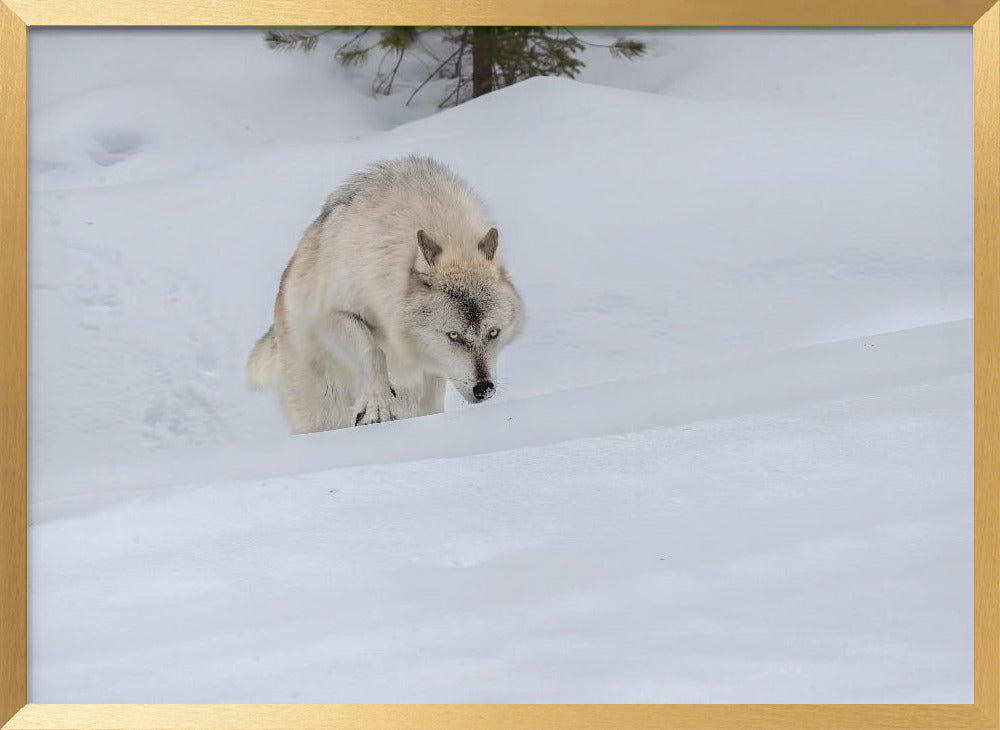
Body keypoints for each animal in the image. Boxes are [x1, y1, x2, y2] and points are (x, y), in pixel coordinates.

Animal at [245, 154, 524, 432]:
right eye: (453, 335)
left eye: (493, 333)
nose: (484, 389)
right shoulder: (329, 316)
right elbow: (373, 350)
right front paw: (376, 407)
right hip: (321, 413)